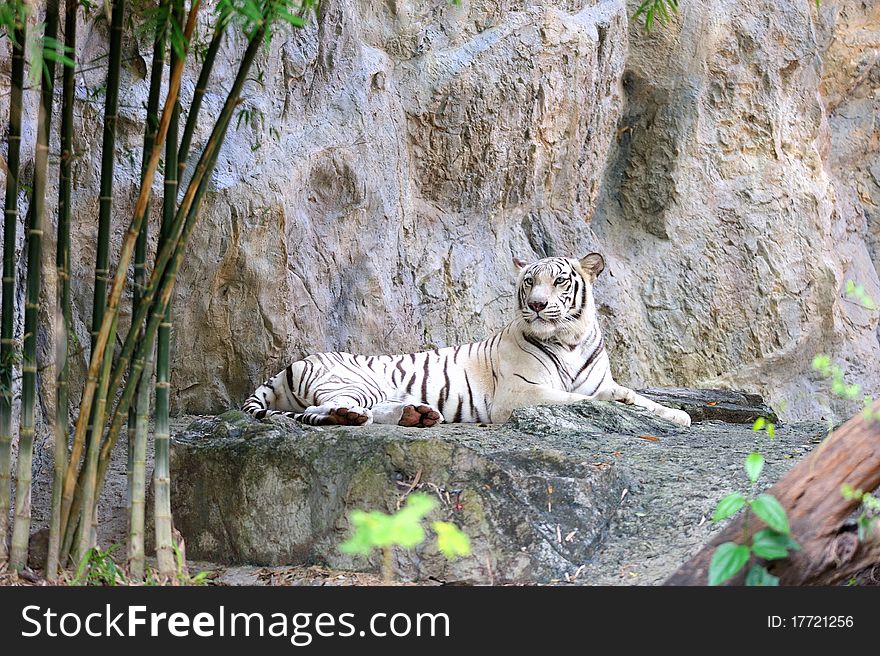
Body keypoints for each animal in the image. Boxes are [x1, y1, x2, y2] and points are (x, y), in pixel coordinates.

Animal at [244, 254, 692, 428]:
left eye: (559, 281)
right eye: (529, 281)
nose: (536, 304)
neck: (570, 339)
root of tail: (290, 364)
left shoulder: (603, 382)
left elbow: (636, 398)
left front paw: (677, 415)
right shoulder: (520, 394)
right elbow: (580, 400)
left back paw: (416, 415)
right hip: (355, 382)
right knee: (319, 412)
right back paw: (348, 416)